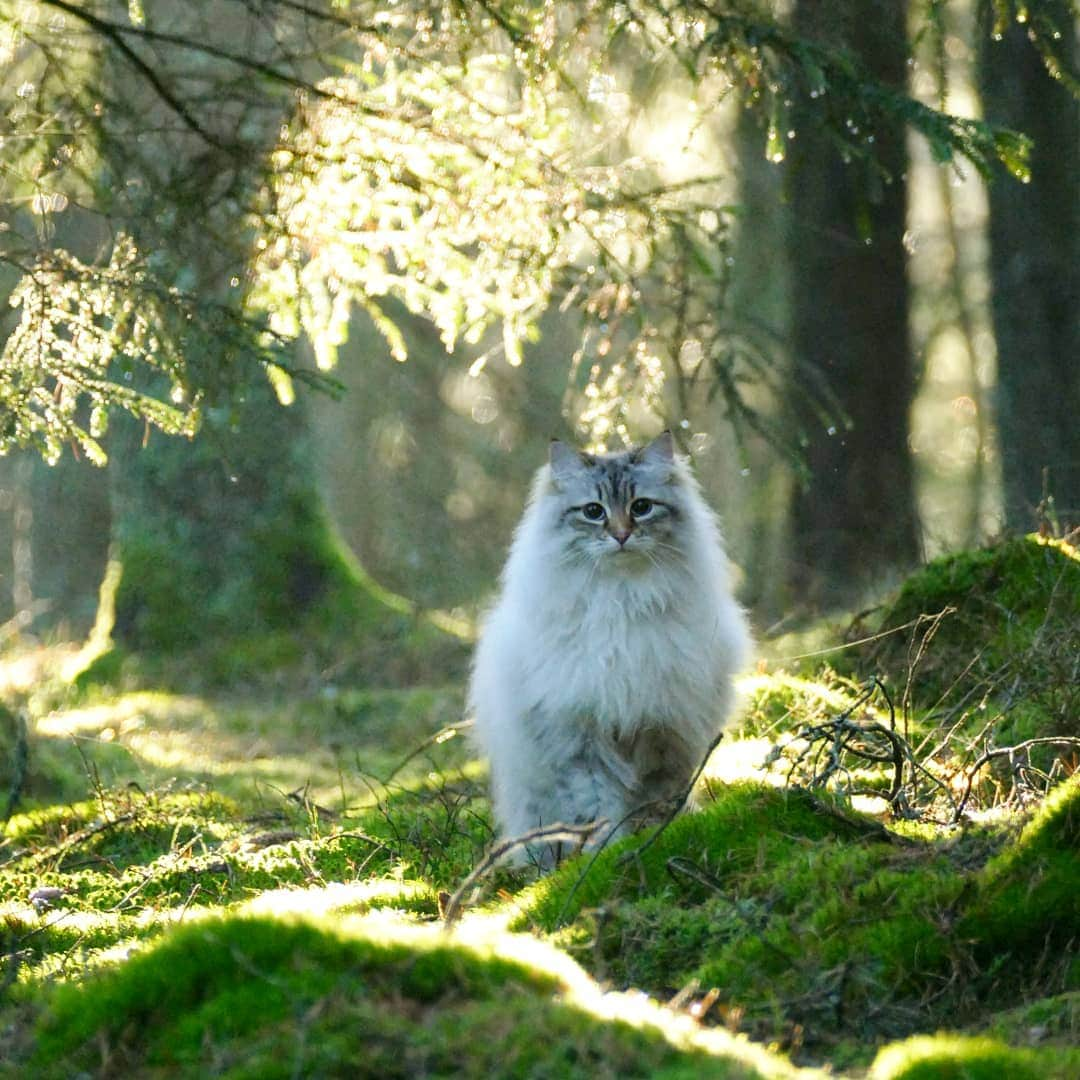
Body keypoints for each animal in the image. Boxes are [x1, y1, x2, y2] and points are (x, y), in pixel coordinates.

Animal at [468, 434, 756, 864]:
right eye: (593, 511)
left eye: (641, 507)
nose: (621, 535)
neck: (622, 600)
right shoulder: (580, 740)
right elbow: (597, 807)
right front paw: (604, 853)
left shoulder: (662, 731)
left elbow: (656, 798)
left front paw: (655, 837)